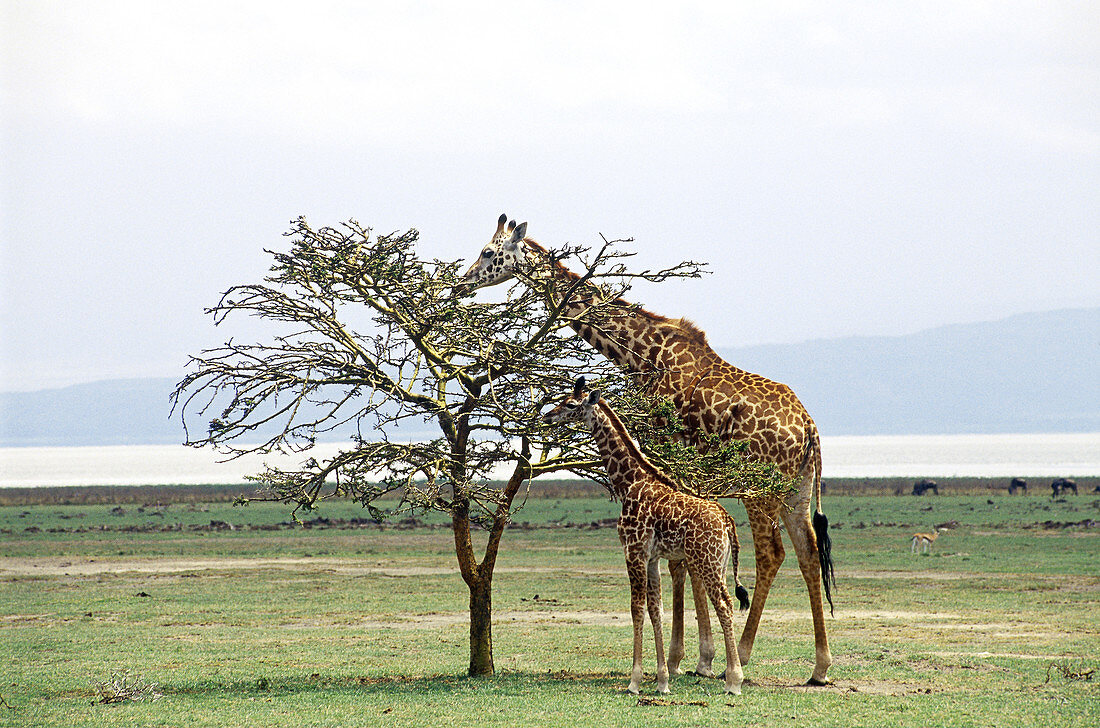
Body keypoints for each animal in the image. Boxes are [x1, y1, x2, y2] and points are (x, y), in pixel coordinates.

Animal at [545, 378, 752, 699]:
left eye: (570, 403)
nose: (547, 416)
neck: (628, 482)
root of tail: (727, 520)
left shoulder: (633, 551)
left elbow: (636, 609)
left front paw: (634, 682)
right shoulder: (652, 557)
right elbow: (656, 610)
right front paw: (662, 681)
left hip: (706, 561)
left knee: (725, 605)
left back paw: (733, 681)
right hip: (718, 563)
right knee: (726, 603)